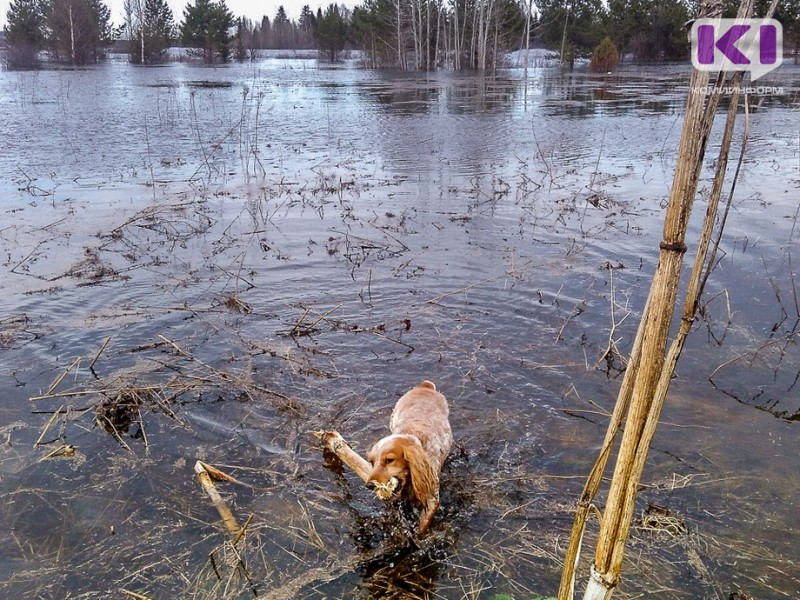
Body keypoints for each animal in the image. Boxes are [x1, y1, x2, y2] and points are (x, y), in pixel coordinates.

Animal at [368, 380, 454, 536]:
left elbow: (424, 523)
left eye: (389, 460)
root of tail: (425, 386)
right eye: (372, 461)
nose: (369, 485)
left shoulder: (431, 494)